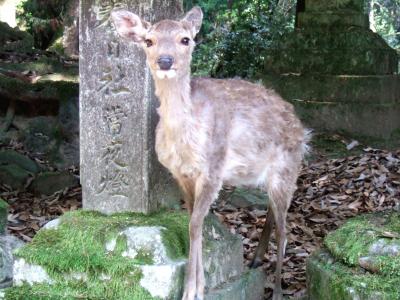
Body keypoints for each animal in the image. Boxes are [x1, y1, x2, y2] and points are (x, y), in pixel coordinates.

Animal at [111, 7, 310, 300]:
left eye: (185, 39)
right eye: (149, 40)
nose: (165, 61)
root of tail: (302, 128)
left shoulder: (213, 171)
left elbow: (195, 224)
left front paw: (192, 291)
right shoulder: (181, 175)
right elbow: (195, 223)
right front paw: (197, 287)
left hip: (288, 167)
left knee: (285, 231)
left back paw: (276, 291)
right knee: (273, 212)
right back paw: (255, 259)